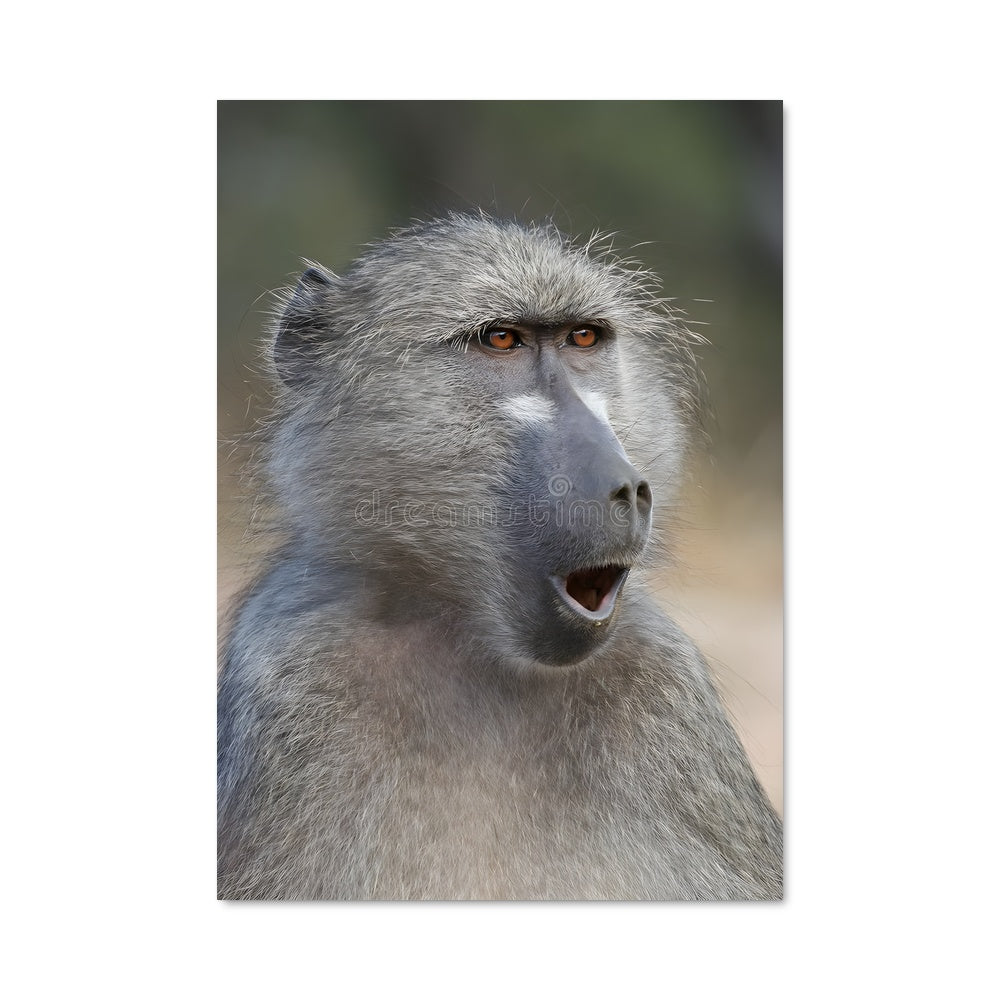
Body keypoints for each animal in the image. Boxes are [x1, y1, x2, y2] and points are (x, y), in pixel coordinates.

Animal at [217, 213, 782, 901]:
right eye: (502, 340)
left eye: (584, 338)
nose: (624, 486)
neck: (472, 643)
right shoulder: (292, 674)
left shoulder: (665, 683)